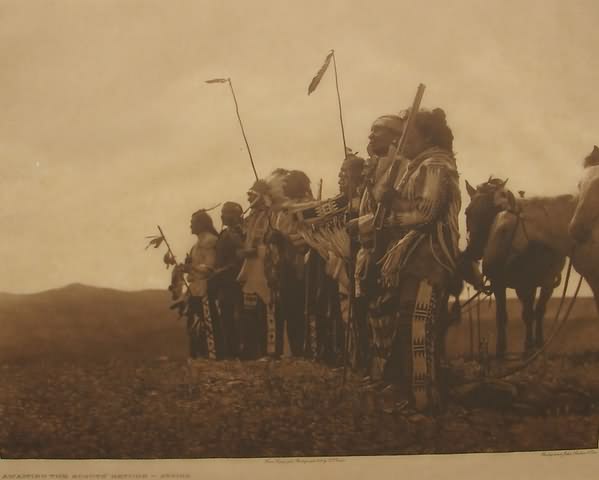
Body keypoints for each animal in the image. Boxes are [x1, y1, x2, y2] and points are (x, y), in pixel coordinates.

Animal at [460, 178, 568, 358]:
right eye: (467, 212)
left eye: (491, 210)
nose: (472, 250)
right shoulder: (506, 284)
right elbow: (507, 315)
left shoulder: (516, 284)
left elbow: (517, 314)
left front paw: (517, 348)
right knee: (536, 311)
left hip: (536, 283)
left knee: (534, 312)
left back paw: (534, 345)